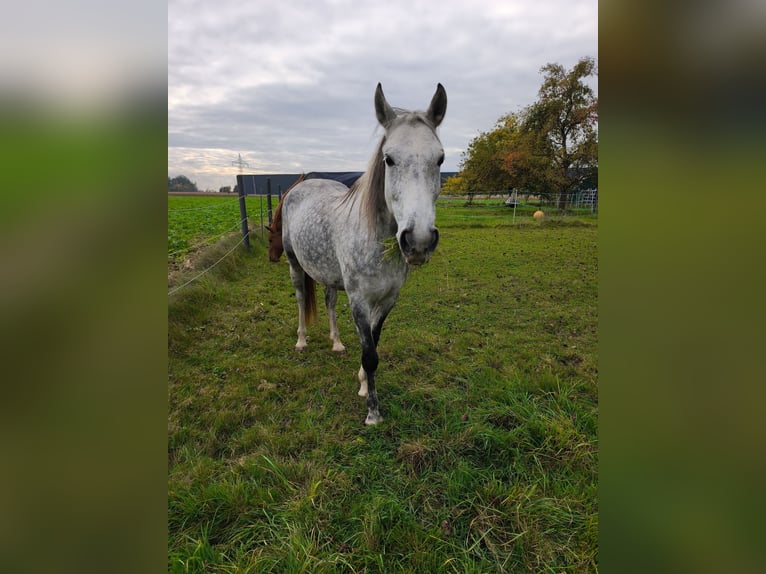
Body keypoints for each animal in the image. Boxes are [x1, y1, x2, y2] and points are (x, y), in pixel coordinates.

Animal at [280, 83, 447, 425]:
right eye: (389, 159)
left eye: (440, 158)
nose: (419, 240)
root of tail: (300, 185)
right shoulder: (359, 300)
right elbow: (370, 355)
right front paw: (373, 412)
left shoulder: (387, 300)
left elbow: (374, 342)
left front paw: (361, 383)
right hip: (293, 264)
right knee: (302, 297)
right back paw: (301, 340)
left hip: (328, 274)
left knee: (329, 301)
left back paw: (337, 343)